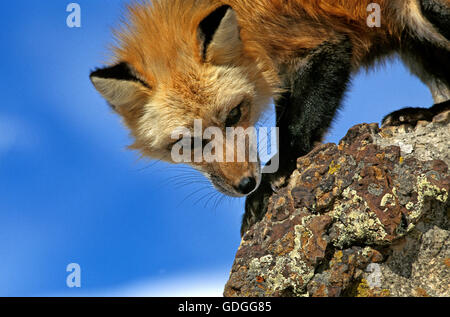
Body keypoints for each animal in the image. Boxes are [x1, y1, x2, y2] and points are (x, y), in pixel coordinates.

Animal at [89, 0, 448, 235]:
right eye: (188, 143)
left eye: (234, 114)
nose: (245, 184)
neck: (250, 27)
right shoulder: (282, 74)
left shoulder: (322, 45)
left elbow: (295, 127)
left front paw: (274, 179)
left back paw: (427, 114)